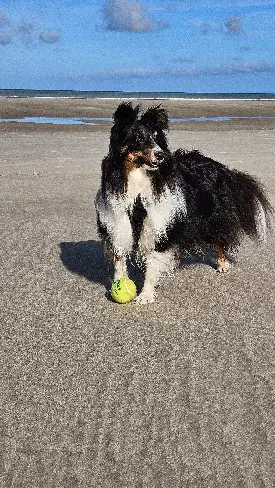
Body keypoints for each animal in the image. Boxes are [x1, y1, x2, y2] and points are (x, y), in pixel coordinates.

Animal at [95, 101, 274, 304]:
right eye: (139, 138)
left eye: (157, 138)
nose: (161, 156)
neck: (138, 181)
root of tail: (222, 168)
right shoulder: (118, 222)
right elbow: (119, 260)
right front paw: (120, 284)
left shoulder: (159, 223)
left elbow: (152, 264)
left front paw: (146, 295)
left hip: (211, 218)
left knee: (220, 240)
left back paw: (222, 264)